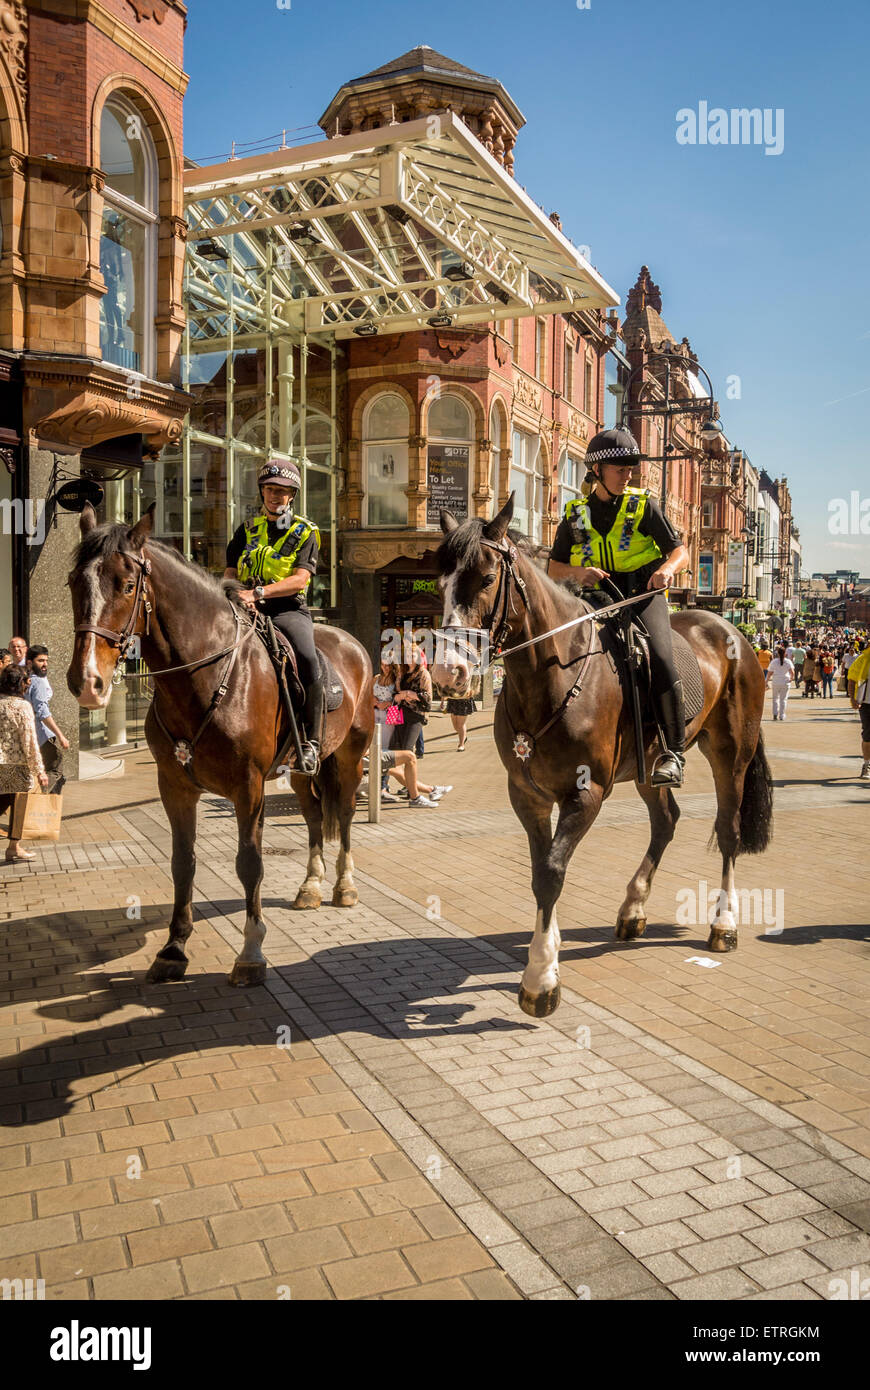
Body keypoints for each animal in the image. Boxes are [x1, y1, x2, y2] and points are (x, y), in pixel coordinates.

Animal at [63, 505, 369, 984]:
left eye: (128, 586)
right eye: (75, 582)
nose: (87, 682)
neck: (205, 676)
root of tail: (349, 640)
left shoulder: (249, 787)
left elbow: (250, 863)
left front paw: (252, 952)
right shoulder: (174, 785)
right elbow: (182, 862)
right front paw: (173, 948)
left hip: (352, 755)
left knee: (347, 814)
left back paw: (344, 886)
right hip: (303, 769)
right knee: (315, 817)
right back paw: (310, 887)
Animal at [430, 494, 767, 1017]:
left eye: (486, 579)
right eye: (440, 581)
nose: (449, 674)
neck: (555, 675)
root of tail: (733, 631)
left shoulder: (584, 796)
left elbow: (552, 872)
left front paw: (540, 979)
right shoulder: (526, 795)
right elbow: (540, 872)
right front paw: (546, 953)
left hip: (732, 753)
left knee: (728, 831)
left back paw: (723, 925)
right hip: (649, 769)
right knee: (666, 821)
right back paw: (633, 909)